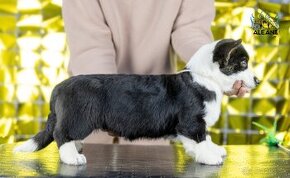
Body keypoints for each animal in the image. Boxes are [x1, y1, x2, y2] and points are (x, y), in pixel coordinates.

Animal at [13, 38, 260, 165]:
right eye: (243, 63)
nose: (257, 80)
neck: (205, 78)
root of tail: (58, 87)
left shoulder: (197, 124)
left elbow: (206, 138)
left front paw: (214, 150)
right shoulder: (191, 122)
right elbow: (199, 139)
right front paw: (210, 157)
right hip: (80, 119)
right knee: (61, 135)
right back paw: (72, 158)